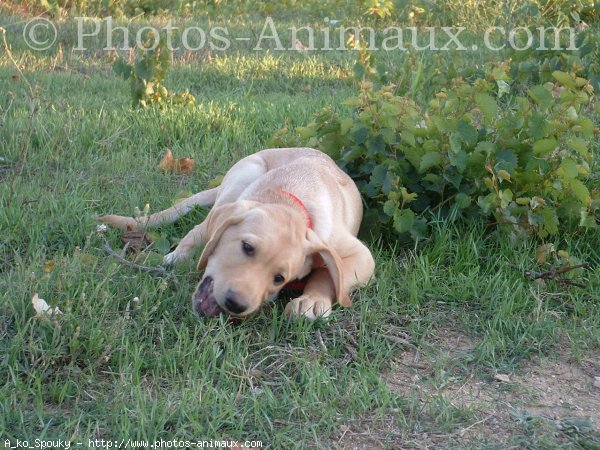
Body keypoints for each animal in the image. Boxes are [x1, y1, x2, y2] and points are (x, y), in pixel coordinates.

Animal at [96, 148, 372, 320]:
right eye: (247, 247)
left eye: (280, 278)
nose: (235, 304)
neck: (289, 196)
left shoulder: (361, 256)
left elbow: (330, 272)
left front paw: (313, 300)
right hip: (244, 175)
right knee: (199, 229)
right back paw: (177, 256)